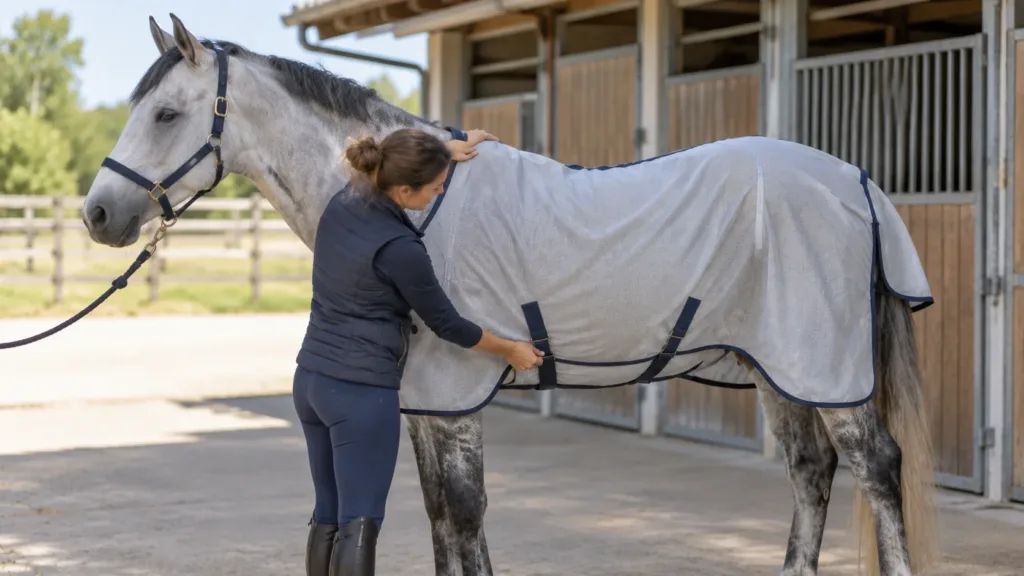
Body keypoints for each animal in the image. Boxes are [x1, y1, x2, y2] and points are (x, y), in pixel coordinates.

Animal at [79, 14, 939, 576]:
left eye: (165, 112)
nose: (97, 215)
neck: (406, 205)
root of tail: (854, 179)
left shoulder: (457, 396)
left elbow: (462, 514)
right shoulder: (427, 405)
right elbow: (442, 520)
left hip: (824, 369)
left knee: (875, 467)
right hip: (781, 369)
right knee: (810, 472)